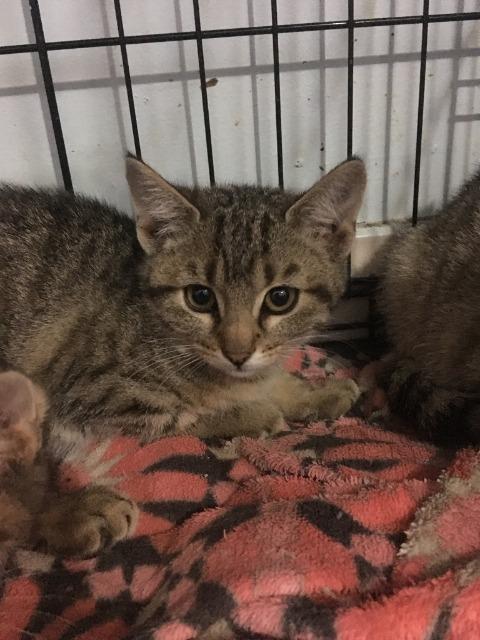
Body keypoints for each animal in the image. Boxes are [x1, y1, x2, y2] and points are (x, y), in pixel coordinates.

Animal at [0, 156, 366, 554]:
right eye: (199, 297)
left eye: (280, 298)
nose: (237, 353)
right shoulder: (92, 393)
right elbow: (179, 415)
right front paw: (253, 412)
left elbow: (271, 379)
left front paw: (314, 391)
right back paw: (82, 512)